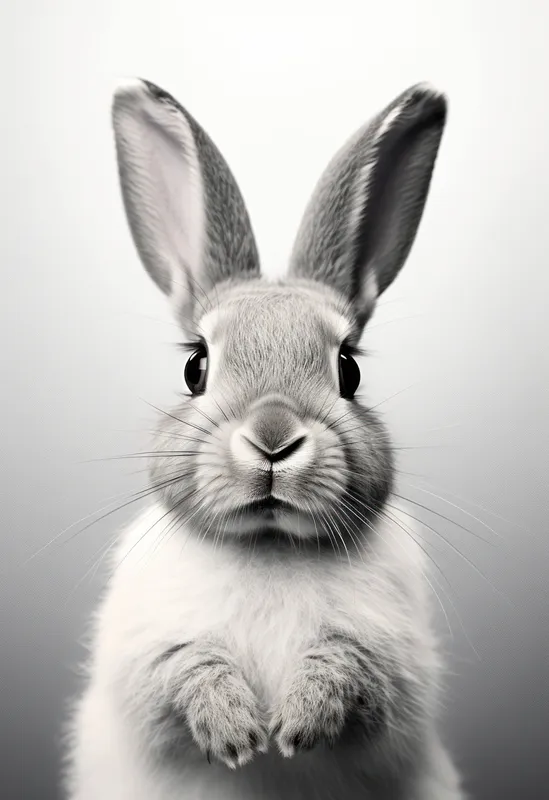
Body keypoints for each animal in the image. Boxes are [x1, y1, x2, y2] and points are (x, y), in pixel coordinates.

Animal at [64, 79, 465, 800]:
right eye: (195, 367)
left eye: (348, 370)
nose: (273, 439)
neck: (269, 544)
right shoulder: (145, 660)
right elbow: (183, 671)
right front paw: (237, 735)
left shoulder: (393, 664)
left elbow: (350, 669)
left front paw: (297, 725)